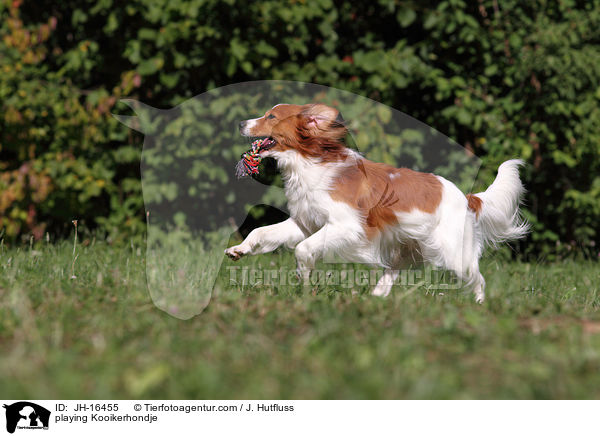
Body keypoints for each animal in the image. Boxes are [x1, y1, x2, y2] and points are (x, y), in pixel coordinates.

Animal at [223, 103, 528, 302]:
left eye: (271, 116)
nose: (239, 123)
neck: (309, 163)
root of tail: (466, 198)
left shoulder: (346, 227)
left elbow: (303, 249)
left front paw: (303, 278)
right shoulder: (304, 223)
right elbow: (260, 232)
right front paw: (239, 249)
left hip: (454, 254)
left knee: (478, 279)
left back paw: (479, 306)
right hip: (407, 248)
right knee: (392, 273)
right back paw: (376, 297)